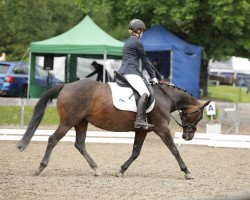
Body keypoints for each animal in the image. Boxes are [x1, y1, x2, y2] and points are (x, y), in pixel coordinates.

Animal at [16, 79, 210, 180]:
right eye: (199, 116)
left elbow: (135, 152)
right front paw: (187, 172)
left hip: (81, 122)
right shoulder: (162, 129)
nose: (188, 136)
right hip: (68, 122)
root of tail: (67, 85)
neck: (165, 98)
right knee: (53, 140)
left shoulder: (142, 131)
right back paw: (40, 168)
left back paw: (96, 169)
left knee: (80, 144)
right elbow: (174, 150)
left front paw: (121, 170)